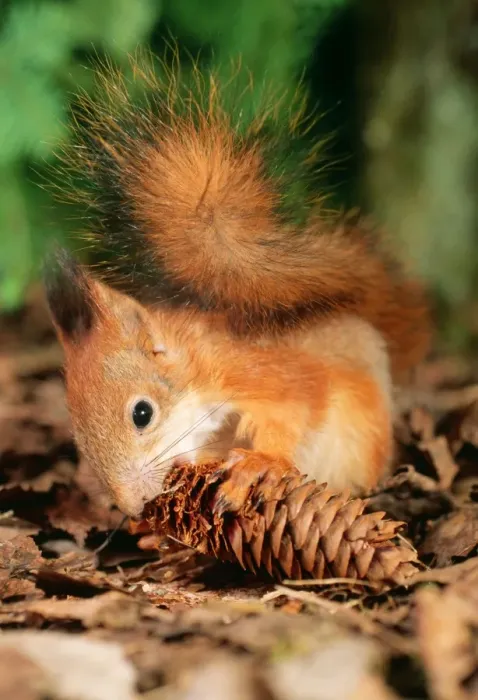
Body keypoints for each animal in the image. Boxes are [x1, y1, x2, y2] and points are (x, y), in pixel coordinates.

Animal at [44, 58, 431, 518]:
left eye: (142, 413)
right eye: (79, 439)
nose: (134, 508)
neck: (198, 373)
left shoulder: (262, 371)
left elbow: (301, 404)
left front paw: (258, 464)